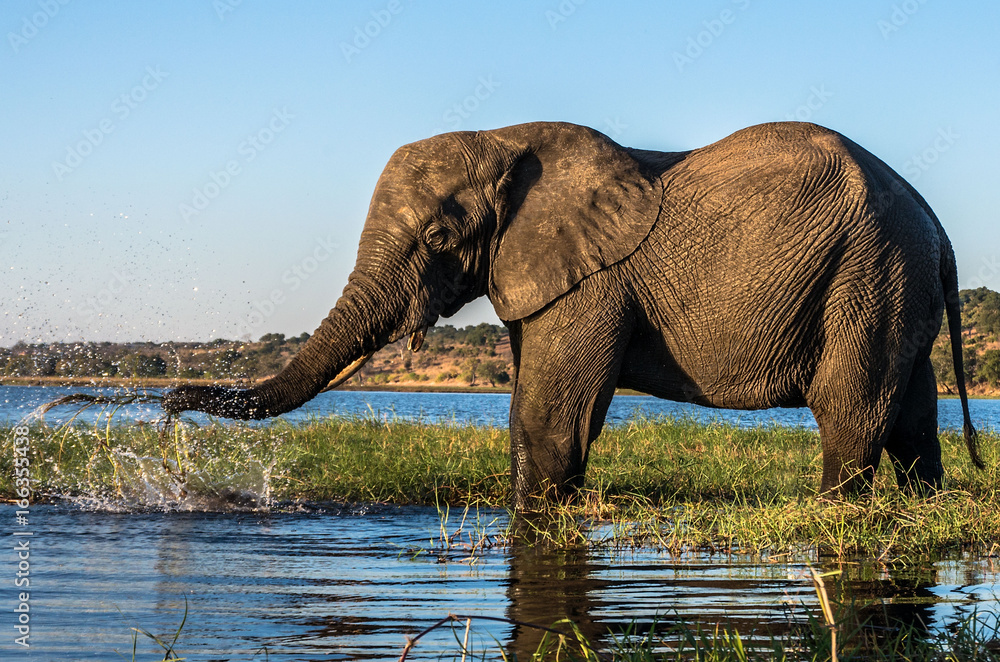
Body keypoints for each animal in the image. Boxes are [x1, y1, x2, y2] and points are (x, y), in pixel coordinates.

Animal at [163, 120, 983, 509]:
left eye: (439, 239)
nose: (168, 401)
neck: (506, 138)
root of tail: (938, 226)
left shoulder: (594, 283)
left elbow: (550, 416)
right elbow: (528, 409)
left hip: (869, 267)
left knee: (851, 407)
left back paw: (832, 514)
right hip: (893, 279)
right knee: (912, 411)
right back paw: (921, 508)